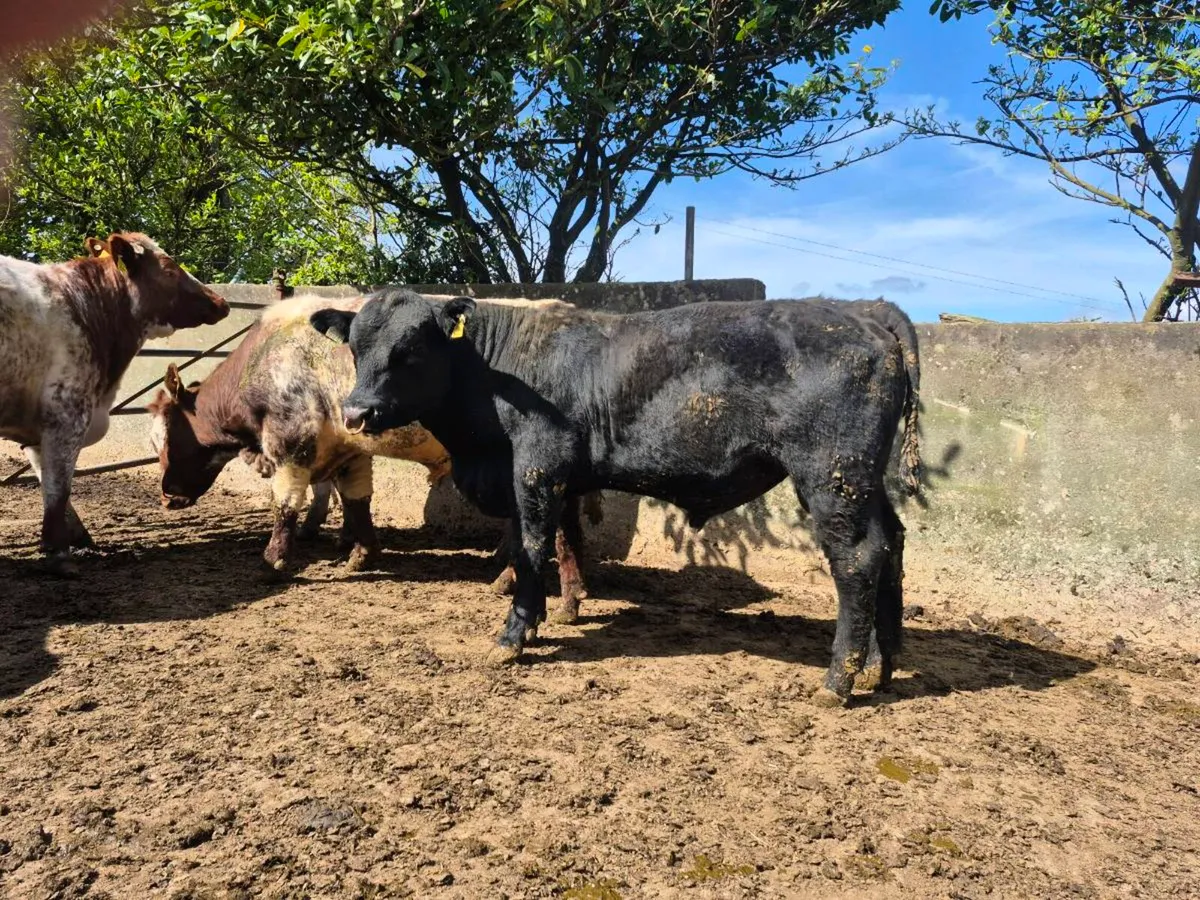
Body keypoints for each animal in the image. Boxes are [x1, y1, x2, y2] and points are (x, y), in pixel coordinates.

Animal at [0, 232, 229, 573]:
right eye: (170, 268)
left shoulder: (38, 433)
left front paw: (78, 539)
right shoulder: (66, 416)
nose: (221, 302)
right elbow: (58, 489)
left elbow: (50, 486)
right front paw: (59, 553)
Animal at [148, 294, 598, 608]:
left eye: (163, 439)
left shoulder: (291, 441)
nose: (167, 497)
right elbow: (357, 500)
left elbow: (286, 504)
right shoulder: (349, 447)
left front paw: (272, 561)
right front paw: (362, 552)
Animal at [310, 290, 920, 707]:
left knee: (858, 560)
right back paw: (880, 667)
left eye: (410, 350)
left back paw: (839, 680)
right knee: (891, 543)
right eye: (356, 347)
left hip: (831, 476)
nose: (355, 412)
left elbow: (532, 546)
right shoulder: (562, 477)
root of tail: (865, 311)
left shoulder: (536, 466)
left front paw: (513, 635)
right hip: (865, 481)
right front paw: (557, 613)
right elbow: (564, 540)